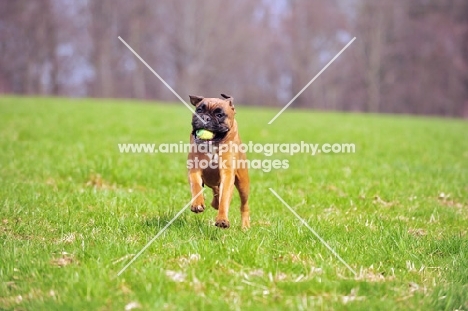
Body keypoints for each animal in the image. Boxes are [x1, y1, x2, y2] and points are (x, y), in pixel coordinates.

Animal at [188, 93, 250, 229]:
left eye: (219, 115)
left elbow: (225, 197)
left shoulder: (227, 174)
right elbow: (196, 186)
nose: (205, 117)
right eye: (199, 110)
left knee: (244, 205)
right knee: (215, 189)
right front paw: (197, 204)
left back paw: (245, 226)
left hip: (243, 184)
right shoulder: (194, 168)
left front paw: (222, 219)